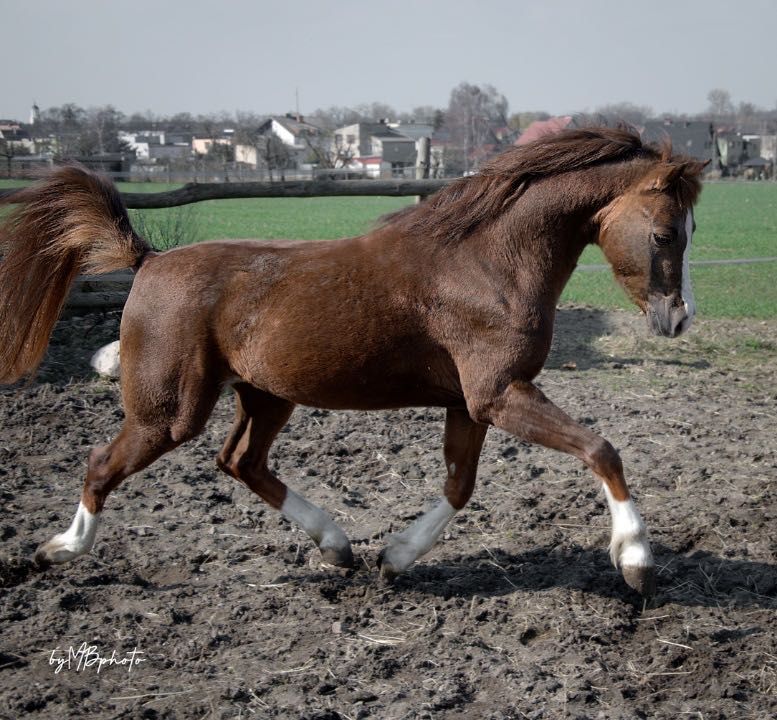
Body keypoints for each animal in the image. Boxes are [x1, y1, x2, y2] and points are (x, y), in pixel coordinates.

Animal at [0, 128, 704, 596]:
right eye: (666, 232)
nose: (678, 319)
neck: (487, 264)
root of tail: (147, 260)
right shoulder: (500, 393)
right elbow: (602, 450)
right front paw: (636, 561)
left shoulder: (471, 402)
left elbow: (460, 485)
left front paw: (395, 557)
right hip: (168, 412)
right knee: (103, 464)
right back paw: (57, 551)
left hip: (266, 395)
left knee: (241, 462)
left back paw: (337, 547)